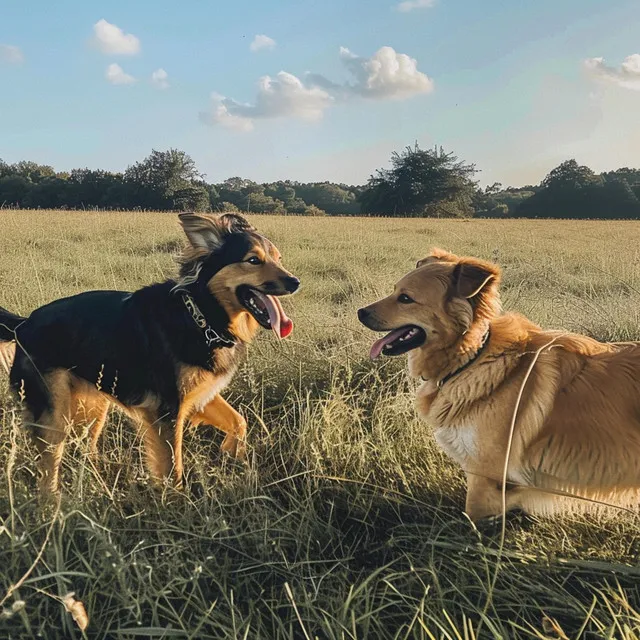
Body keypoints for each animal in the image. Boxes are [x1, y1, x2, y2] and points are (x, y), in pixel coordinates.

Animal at [0, 212, 298, 492]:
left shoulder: (197, 395)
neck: (201, 317)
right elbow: (173, 467)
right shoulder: (168, 410)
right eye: (253, 260)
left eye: (279, 258)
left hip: (92, 406)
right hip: (54, 414)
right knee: (48, 472)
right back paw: (54, 505)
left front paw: (232, 455)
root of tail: (24, 323)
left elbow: (238, 421)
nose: (295, 282)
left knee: (83, 450)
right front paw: (176, 502)